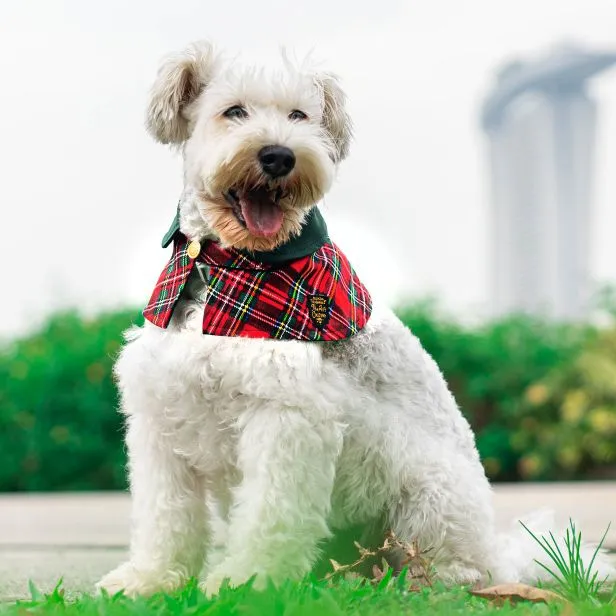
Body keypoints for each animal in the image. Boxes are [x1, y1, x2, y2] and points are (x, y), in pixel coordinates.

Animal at [98, 39, 612, 596]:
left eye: (299, 116)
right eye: (233, 111)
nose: (279, 155)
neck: (230, 265)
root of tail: (501, 553)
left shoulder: (287, 419)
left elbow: (269, 517)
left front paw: (245, 583)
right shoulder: (160, 416)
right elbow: (166, 515)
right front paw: (149, 579)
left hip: (429, 497)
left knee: (460, 568)